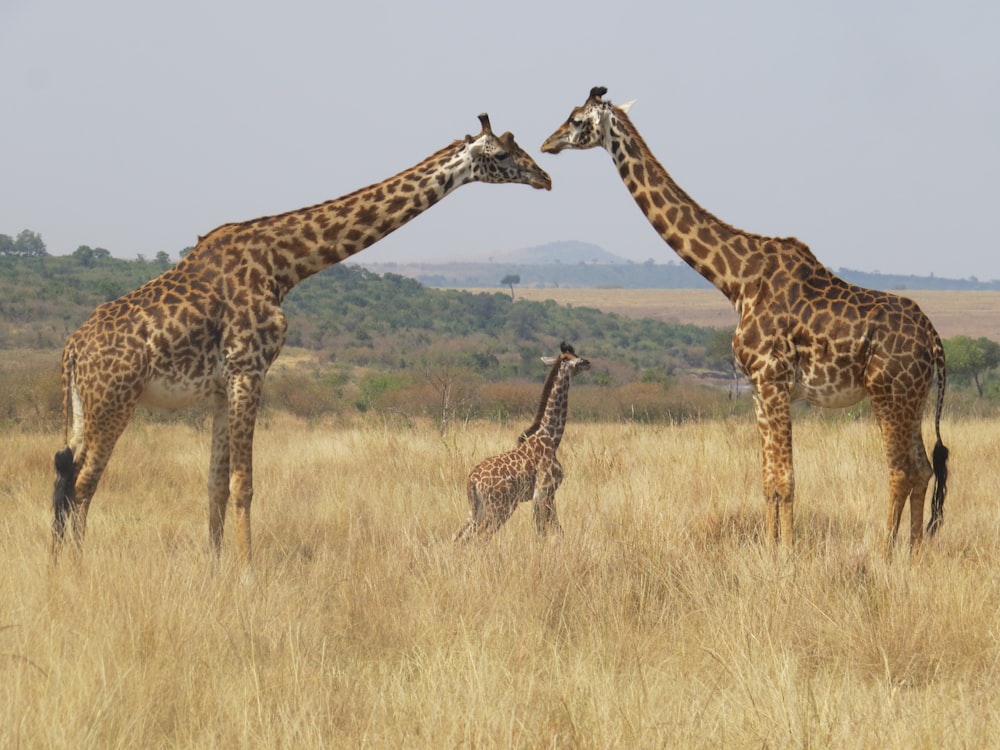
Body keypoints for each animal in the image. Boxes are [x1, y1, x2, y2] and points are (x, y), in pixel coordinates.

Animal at [50, 114, 552, 564]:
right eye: (502, 154)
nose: (544, 176)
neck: (283, 263)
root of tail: (72, 351)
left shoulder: (221, 386)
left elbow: (214, 484)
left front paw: (215, 567)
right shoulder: (249, 369)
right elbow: (243, 484)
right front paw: (247, 573)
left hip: (82, 407)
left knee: (64, 474)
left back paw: (58, 565)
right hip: (115, 400)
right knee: (84, 483)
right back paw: (78, 567)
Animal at [452, 344, 584, 544]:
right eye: (577, 360)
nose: (588, 363)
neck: (551, 437)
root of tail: (472, 480)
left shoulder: (543, 495)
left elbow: (545, 529)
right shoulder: (545, 491)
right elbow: (550, 529)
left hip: (476, 509)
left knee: (459, 536)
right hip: (500, 507)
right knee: (481, 537)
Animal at [544, 89, 948, 560]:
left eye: (576, 120)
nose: (547, 143)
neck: (736, 279)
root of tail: (934, 340)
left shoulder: (773, 381)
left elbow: (787, 480)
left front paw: (788, 554)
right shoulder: (757, 388)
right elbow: (769, 480)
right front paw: (770, 549)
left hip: (889, 393)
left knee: (900, 470)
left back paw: (884, 553)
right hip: (913, 397)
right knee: (923, 468)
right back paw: (914, 553)